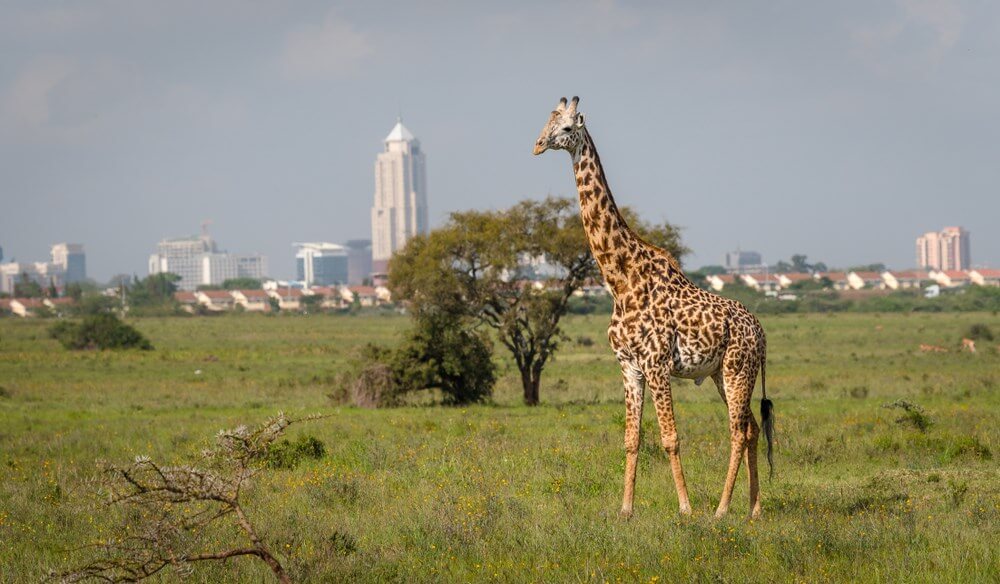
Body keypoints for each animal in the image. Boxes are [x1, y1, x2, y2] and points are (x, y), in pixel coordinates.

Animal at [532, 97, 772, 520]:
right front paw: (626, 510)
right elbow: (632, 438)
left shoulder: (657, 364)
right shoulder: (629, 366)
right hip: (720, 373)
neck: (621, 279)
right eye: (547, 123)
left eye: (566, 129)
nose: (538, 145)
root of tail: (760, 333)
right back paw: (754, 509)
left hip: (737, 369)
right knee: (752, 428)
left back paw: (721, 509)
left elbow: (670, 437)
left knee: (737, 432)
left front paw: (685, 508)